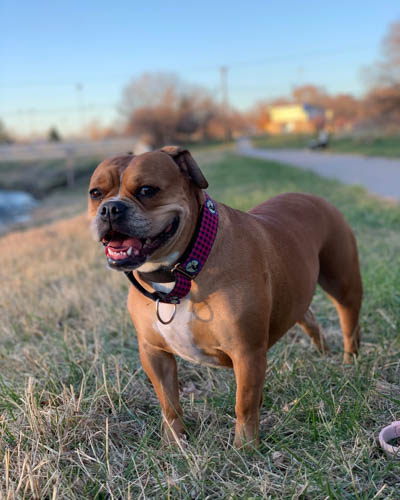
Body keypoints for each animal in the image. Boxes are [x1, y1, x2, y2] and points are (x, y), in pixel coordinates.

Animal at [89, 146, 364, 448]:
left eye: (147, 190)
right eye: (95, 193)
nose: (110, 208)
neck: (181, 272)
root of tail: (313, 197)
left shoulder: (246, 351)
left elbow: (244, 402)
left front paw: (245, 448)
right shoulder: (154, 353)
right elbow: (168, 402)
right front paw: (174, 443)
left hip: (342, 281)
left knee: (349, 318)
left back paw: (350, 360)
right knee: (309, 318)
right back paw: (323, 352)